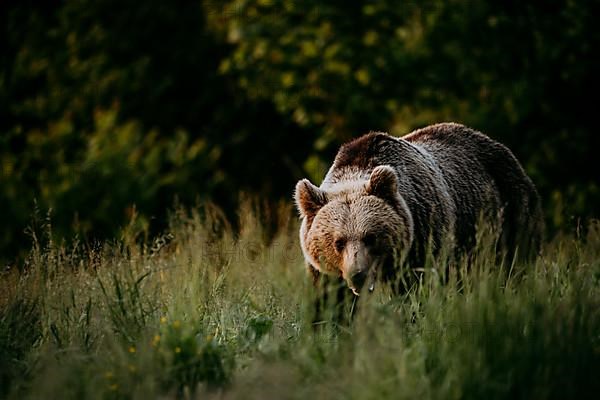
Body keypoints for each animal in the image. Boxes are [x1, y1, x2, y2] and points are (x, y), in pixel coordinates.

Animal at [296, 122, 544, 296]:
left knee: (514, 263)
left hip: (508, 210)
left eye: (370, 237)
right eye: (338, 242)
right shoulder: (324, 271)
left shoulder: (424, 238)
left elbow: (417, 290)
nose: (358, 275)